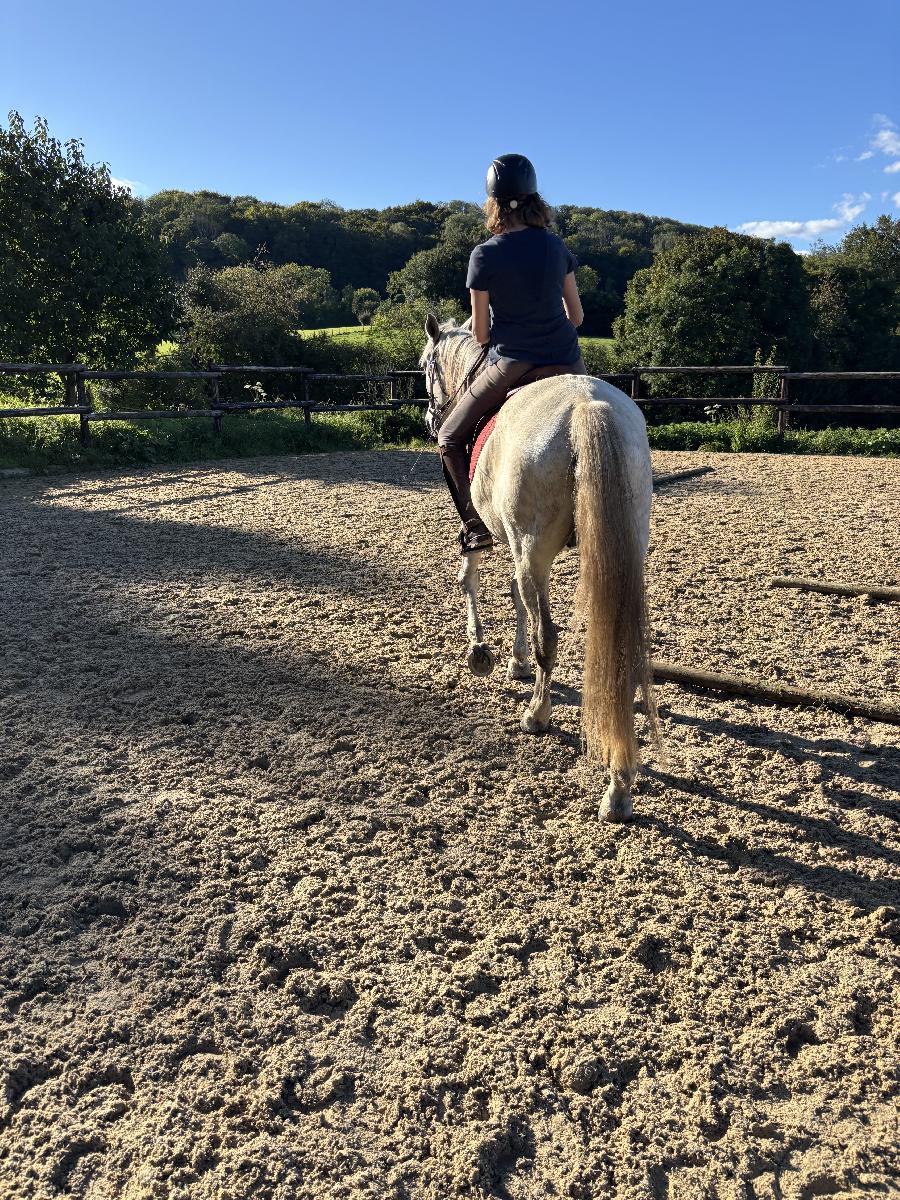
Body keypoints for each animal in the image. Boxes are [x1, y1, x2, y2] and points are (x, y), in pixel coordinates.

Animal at [422, 314, 662, 820]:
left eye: (426, 367)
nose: (432, 419)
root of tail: (586, 404)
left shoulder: (492, 533)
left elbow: (471, 579)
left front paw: (481, 653)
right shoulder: (518, 548)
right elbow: (516, 597)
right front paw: (513, 662)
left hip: (533, 547)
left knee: (547, 636)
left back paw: (537, 715)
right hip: (619, 546)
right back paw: (619, 785)